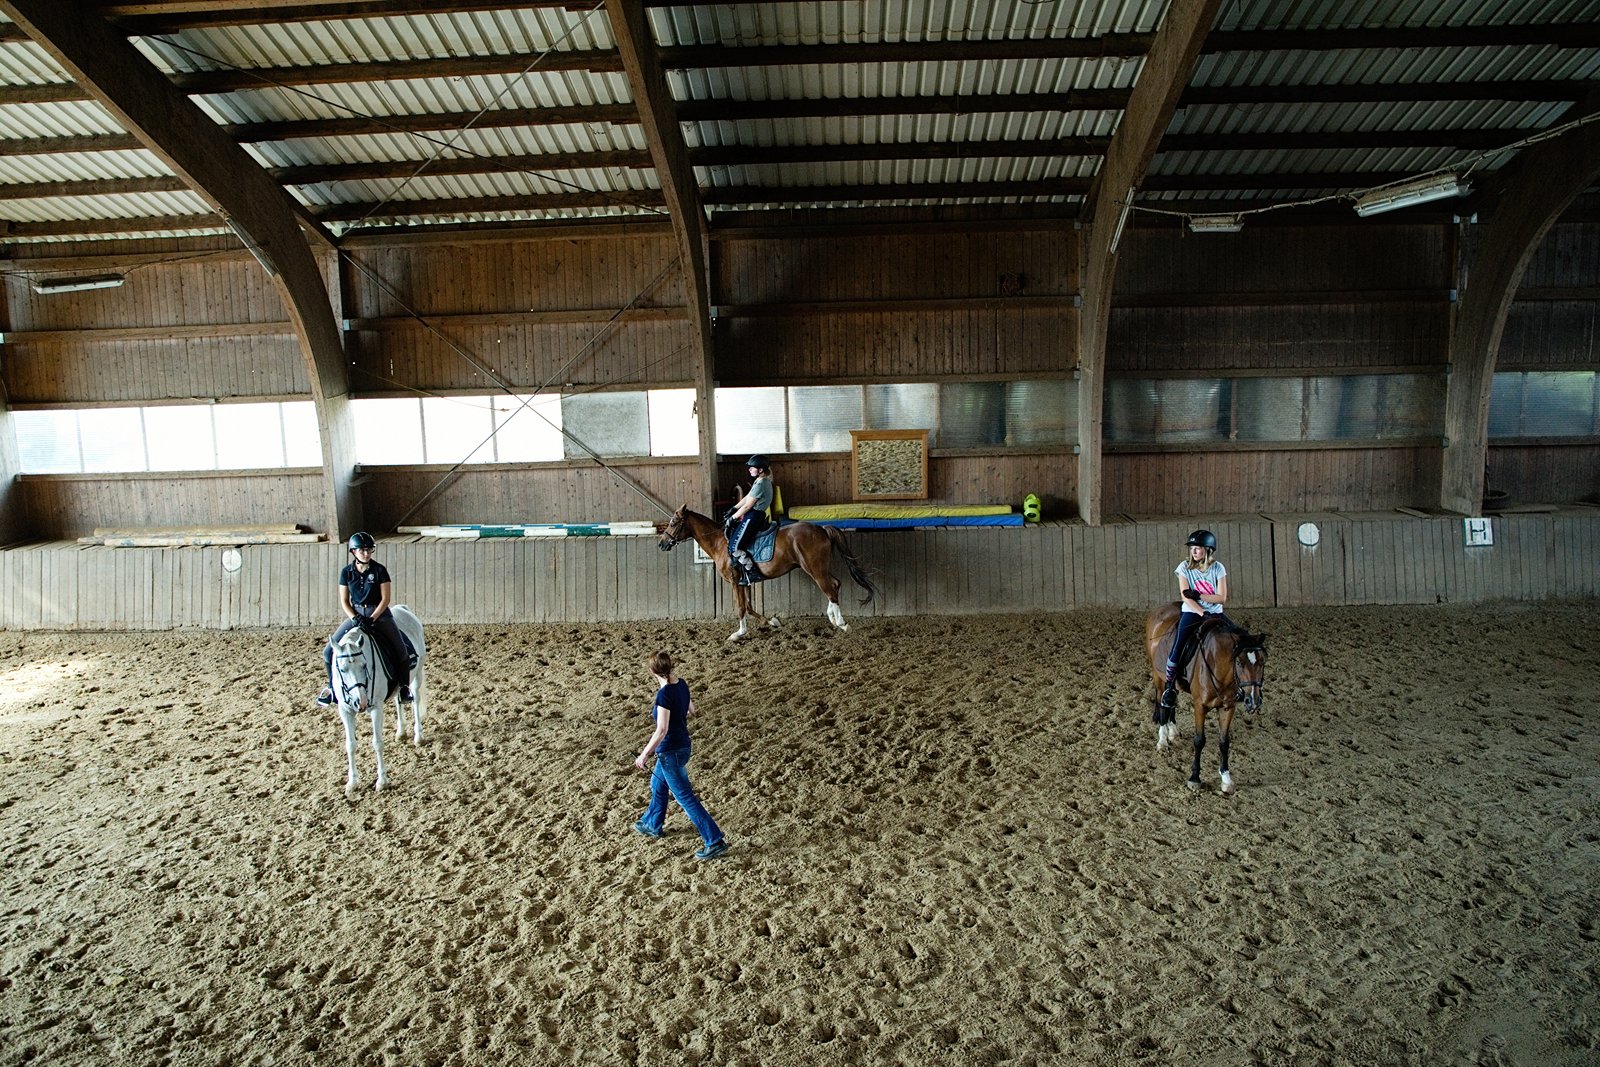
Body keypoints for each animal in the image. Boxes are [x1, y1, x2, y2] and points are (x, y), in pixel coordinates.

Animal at [329, 604, 428, 790]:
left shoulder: (376, 708)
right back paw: (400, 732)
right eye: (343, 669)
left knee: (416, 701)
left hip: (417, 674)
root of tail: (402, 608)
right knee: (399, 700)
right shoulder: (345, 710)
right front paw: (352, 782)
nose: (360, 702)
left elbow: (377, 743)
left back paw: (418, 737)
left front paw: (382, 780)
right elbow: (350, 744)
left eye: (364, 665)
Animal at [659, 508, 883, 643]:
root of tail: (822, 529)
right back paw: (834, 619)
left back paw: (842, 623)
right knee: (835, 584)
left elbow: (741, 607)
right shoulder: (745, 582)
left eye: (673, 522)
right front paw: (771, 622)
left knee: (830, 589)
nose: (662, 543)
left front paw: (738, 633)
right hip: (819, 568)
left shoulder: (734, 582)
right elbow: (749, 606)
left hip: (814, 569)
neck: (720, 543)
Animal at [1145, 601, 1267, 793]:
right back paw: (1163, 739)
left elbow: (1224, 742)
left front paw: (1226, 780)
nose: (1253, 700)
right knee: (1162, 703)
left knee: (1172, 699)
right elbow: (1199, 740)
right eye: (1239, 663)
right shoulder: (1200, 706)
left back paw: (1172, 731)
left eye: (1262, 662)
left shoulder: (1228, 707)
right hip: (1159, 677)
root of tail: (1160, 610)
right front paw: (1194, 778)